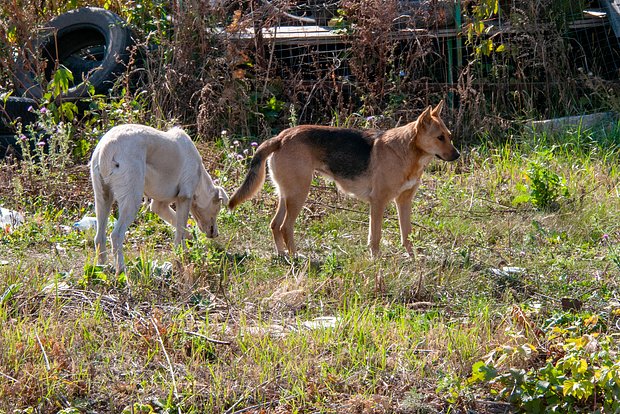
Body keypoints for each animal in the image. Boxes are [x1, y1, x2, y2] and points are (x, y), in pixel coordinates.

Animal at [89, 124, 228, 274]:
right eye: (217, 209)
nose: (216, 234)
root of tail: (107, 146)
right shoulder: (185, 198)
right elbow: (180, 229)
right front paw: (183, 255)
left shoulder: (160, 206)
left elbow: (178, 224)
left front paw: (190, 237)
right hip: (132, 199)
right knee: (116, 235)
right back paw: (121, 271)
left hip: (103, 198)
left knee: (99, 237)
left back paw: (103, 267)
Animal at [229, 100, 460, 258]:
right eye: (440, 138)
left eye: (449, 136)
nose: (457, 155)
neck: (407, 151)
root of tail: (280, 137)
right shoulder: (378, 202)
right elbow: (375, 237)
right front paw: (377, 261)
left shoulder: (404, 202)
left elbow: (407, 235)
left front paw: (412, 259)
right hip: (298, 195)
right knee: (286, 227)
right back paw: (296, 257)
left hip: (286, 195)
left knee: (275, 225)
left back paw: (283, 255)